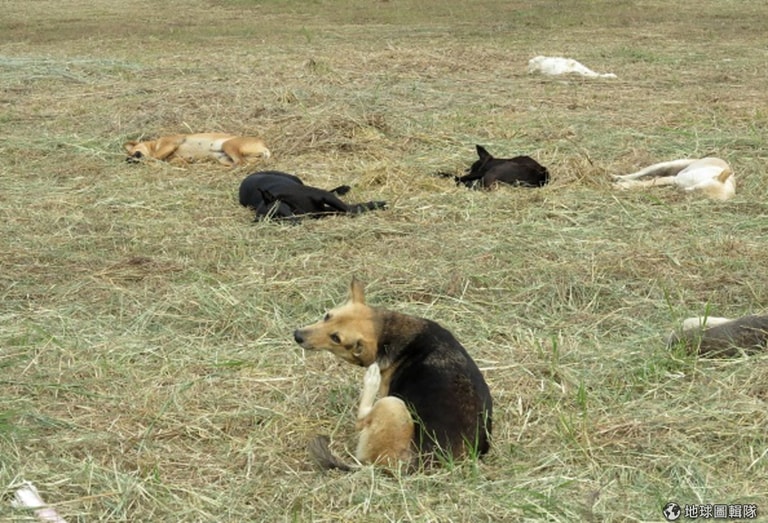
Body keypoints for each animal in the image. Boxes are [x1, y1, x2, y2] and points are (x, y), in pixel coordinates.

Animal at [239, 171, 386, 221]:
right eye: (275, 221)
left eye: (278, 212)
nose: (295, 223)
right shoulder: (322, 211)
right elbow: (349, 210)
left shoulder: (322, 195)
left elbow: (350, 209)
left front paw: (376, 204)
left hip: (297, 179)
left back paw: (343, 189)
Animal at [294, 278, 493, 470]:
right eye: (327, 316)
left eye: (336, 338)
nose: (297, 335)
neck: (386, 331)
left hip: (393, 405)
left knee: (361, 420)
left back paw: (371, 379)